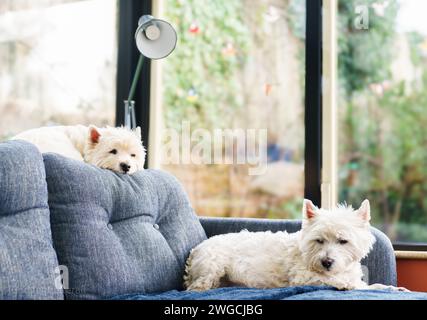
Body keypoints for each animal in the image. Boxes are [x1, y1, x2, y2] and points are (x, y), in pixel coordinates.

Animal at [185, 200, 412, 292]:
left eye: (343, 241)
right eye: (319, 240)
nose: (326, 262)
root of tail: (196, 249)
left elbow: (369, 285)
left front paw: (391, 288)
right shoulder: (303, 278)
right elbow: (335, 281)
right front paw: (345, 285)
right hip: (212, 265)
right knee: (196, 288)